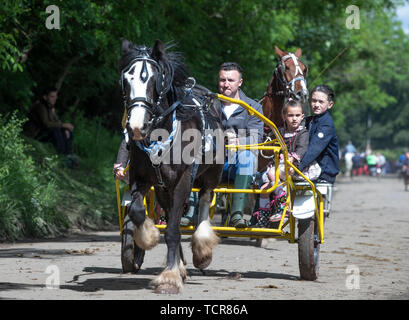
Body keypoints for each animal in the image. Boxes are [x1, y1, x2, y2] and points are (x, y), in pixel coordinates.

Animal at [119, 38, 223, 294]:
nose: (136, 126)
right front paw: (147, 237)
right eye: (126, 79)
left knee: (204, 201)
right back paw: (180, 265)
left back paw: (201, 250)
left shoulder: (183, 180)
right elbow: (138, 212)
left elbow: (174, 230)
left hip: (211, 174)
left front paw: (169, 278)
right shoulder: (141, 178)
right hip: (163, 187)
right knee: (168, 212)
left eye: (154, 79)